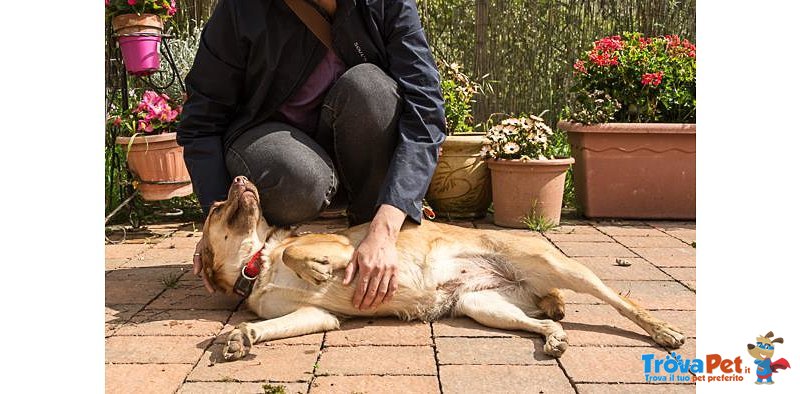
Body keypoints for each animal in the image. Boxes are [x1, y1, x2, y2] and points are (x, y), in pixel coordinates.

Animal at [200, 175, 680, 360]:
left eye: (215, 206)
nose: (241, 178)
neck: (257, 267)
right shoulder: (318, 316)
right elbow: (263, 327)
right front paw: (241, 337)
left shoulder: (342, 246)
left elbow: (298, 254)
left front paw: (314, 270)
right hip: (483, 306)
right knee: (546, 322)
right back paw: (554, 337)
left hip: (561, 268)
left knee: (622, 303)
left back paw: (663, 330)